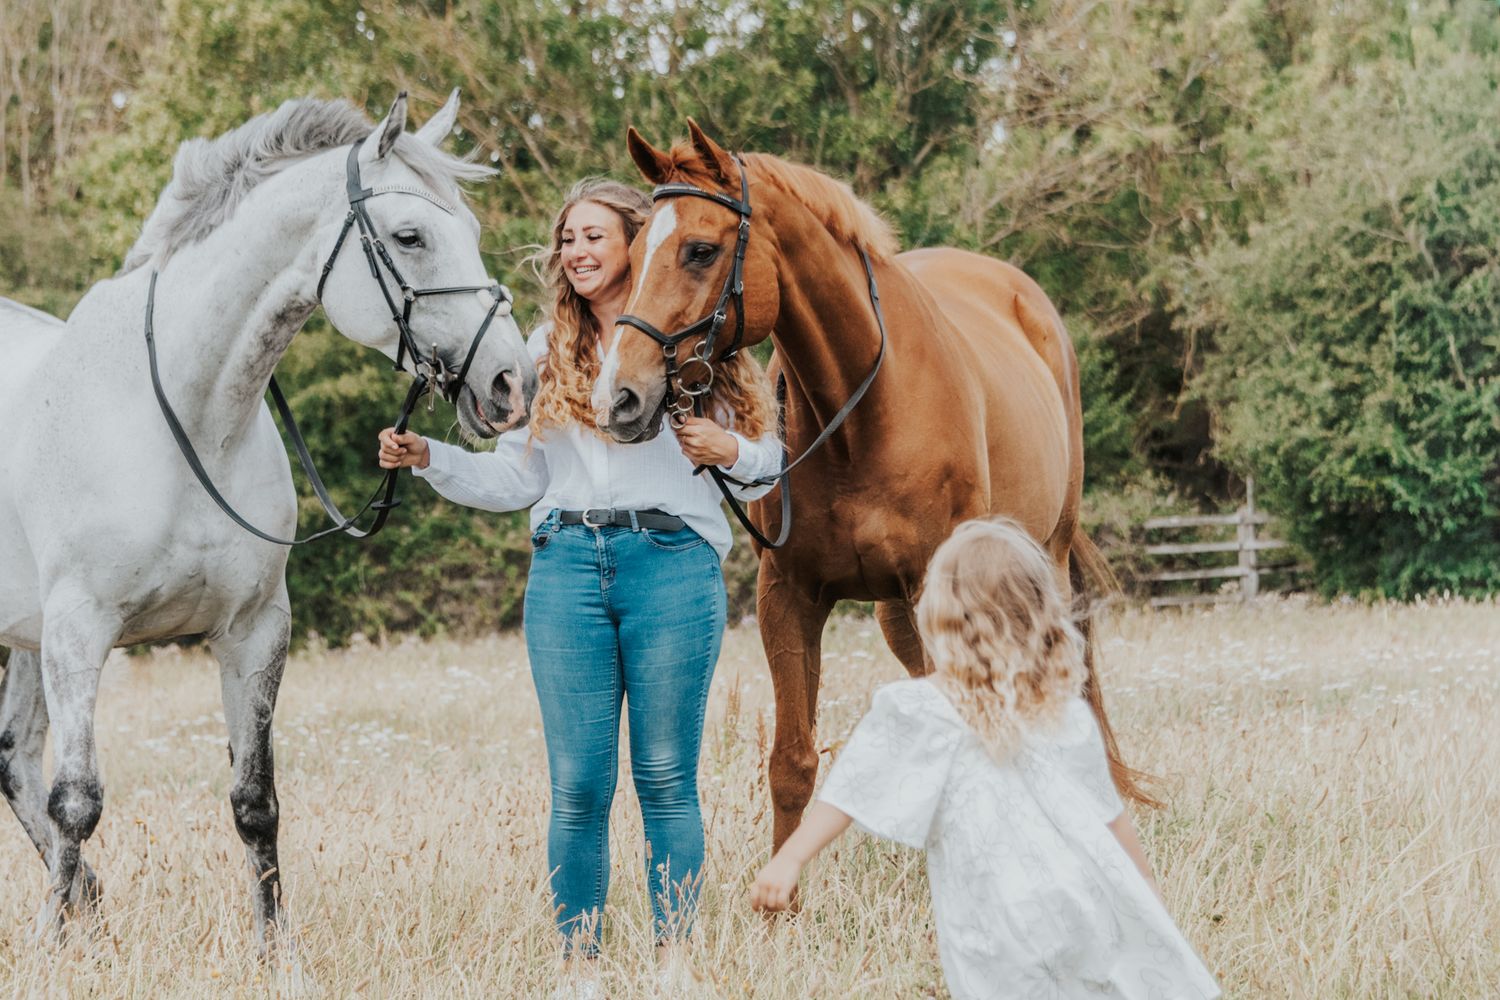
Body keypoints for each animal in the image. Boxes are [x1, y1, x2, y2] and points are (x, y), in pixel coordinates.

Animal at [0, 91, 536, 948]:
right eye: (411, 237)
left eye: (473, 232)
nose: (511, 383)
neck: (184, 418)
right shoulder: (78, 631)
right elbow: (77, 799)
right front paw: (53, 950)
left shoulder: (253, 630)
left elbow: (255, 801)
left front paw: (274, 947)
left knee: (15, 755)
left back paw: (86, 901)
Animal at [593, 120, 1150, 852]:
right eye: (631, 255)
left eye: (700, 250)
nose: (620, 397)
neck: (861, 413)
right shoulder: (789, 596)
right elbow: (793, 763)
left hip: (1042, 562)